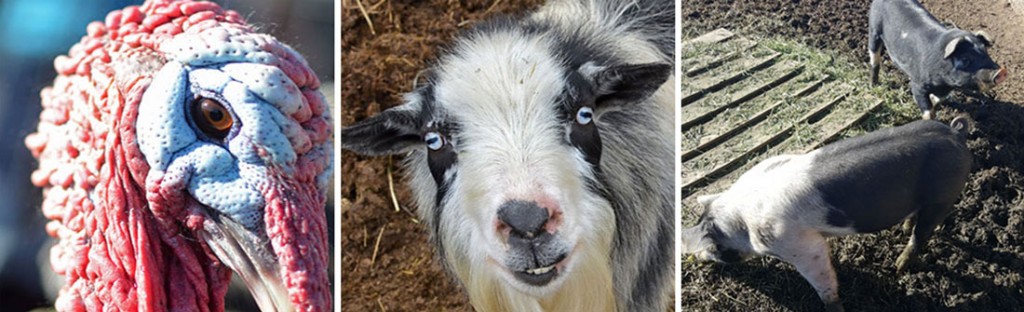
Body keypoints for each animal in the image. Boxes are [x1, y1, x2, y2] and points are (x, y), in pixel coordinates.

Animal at [684, 117, 970, 310]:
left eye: (714, 246)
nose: (695, 256)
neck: (744, 222)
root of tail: (956, 133)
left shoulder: (799, 245)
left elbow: (821, 276)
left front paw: (834, 307)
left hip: (943, 196)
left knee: (922, 235)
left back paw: (897, 267)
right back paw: (904, 229)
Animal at [868, 0, 1011, 119]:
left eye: (985, 52)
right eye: (965, 59)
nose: (1001, 71)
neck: (943, 82)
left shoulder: (944, 90)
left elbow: (937, 101)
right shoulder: (918, 84)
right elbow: (927, 110)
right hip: (874, 30)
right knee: (875, 59)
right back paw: (874, 84)